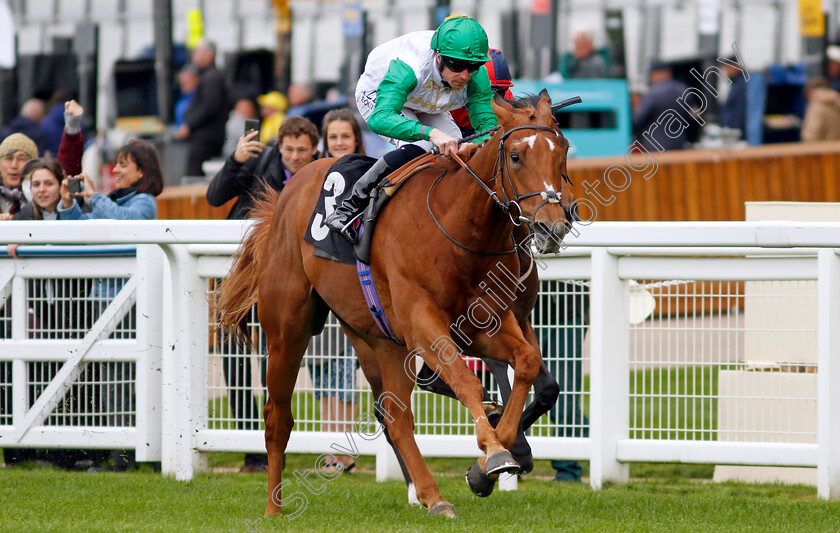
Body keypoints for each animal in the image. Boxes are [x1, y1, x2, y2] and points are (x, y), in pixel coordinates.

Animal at [215, 94, 576, 516]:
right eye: (516, 156)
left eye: (563, 151)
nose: (554, 225)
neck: (458, 228)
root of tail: (284, 196)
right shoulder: (423, 324)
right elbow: (467, 382)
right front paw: (496, 452)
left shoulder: (483, 326)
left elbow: (527, 363)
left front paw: (487, 463)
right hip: (287, 330)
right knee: (278, 417)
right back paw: (274, 508)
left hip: (377, 338)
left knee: (395, 417)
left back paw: (433, 497)